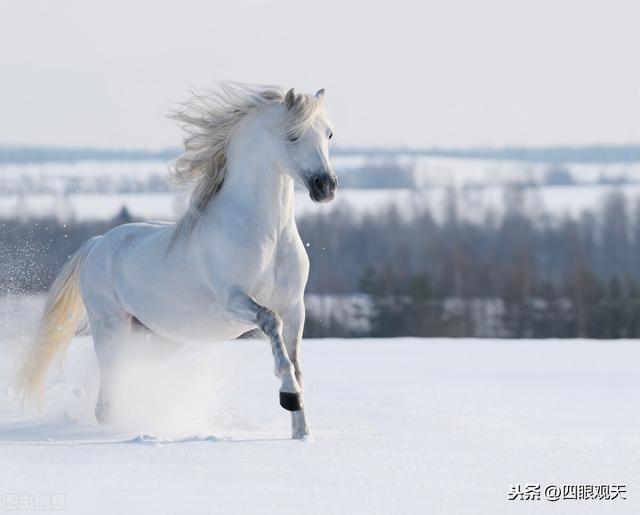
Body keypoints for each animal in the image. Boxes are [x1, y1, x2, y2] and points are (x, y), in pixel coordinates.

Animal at [20, 84, 338, 440]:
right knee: (106, 399)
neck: (268, 235)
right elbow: (272, 326)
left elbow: (296, 364)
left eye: (328, 134)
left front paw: (302, 431)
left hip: (158, 338)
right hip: (111, 327)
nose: (326, 186)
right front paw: (289, 397)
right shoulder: (233, 300)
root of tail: (97, 243)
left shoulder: (295, 307)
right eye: (293, 136)